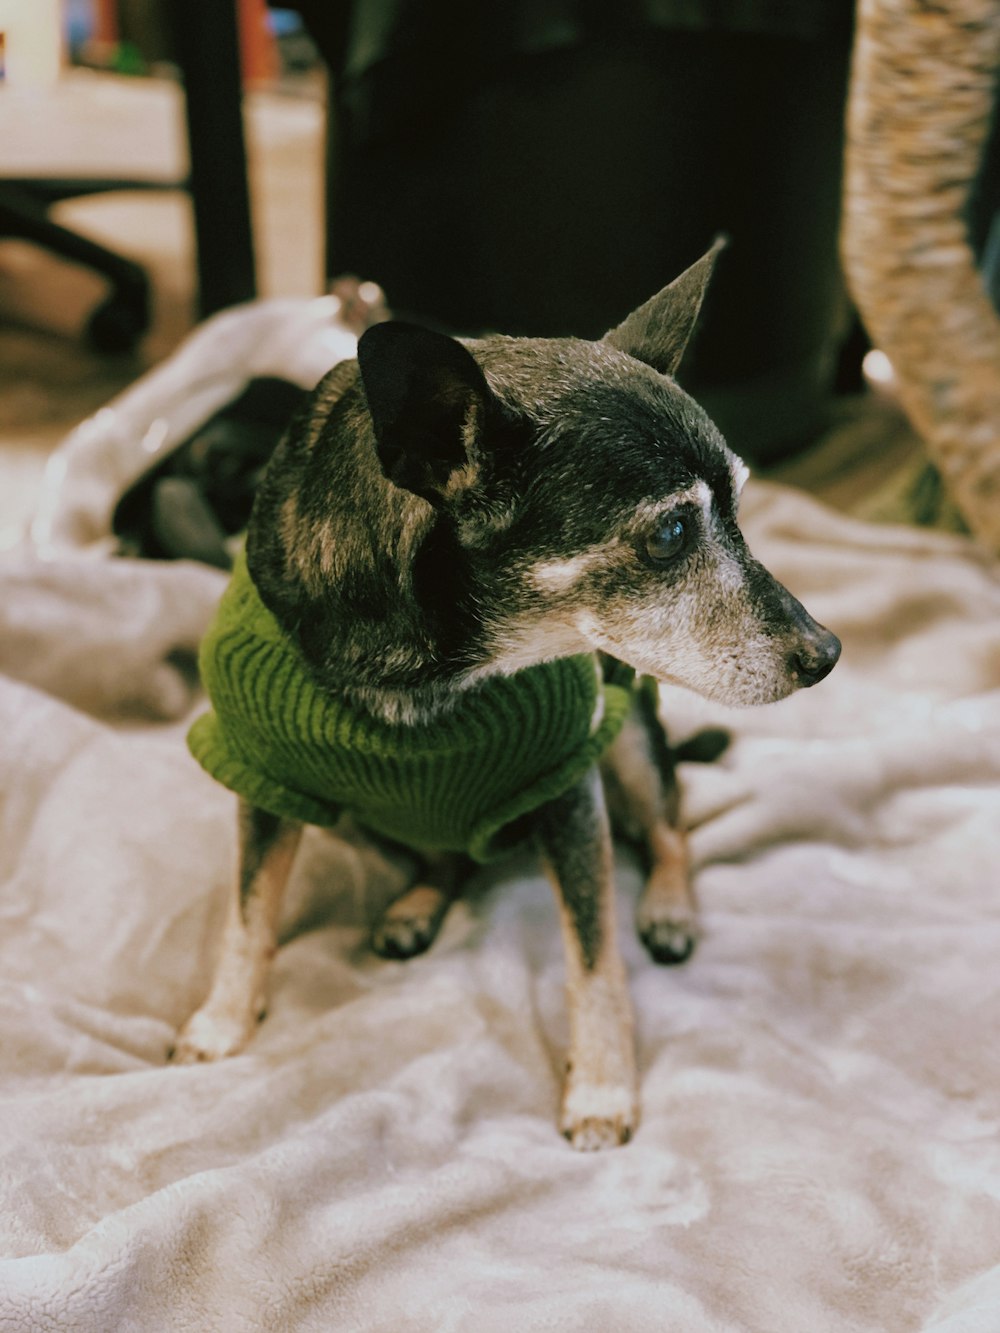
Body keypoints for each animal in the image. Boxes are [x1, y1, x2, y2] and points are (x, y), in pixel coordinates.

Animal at [174, 245, 848, 1151]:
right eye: (671, 534)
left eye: (743, 510)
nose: (828, 651)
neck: (434, 673)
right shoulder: (266, 779)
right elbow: (250, 912)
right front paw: (221, 1020)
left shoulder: (570, 785)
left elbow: (594, 956)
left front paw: (600, 1086)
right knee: (448, 855)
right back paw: (417, 903)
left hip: (626, 731)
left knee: (669, 825)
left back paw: (669, 908)